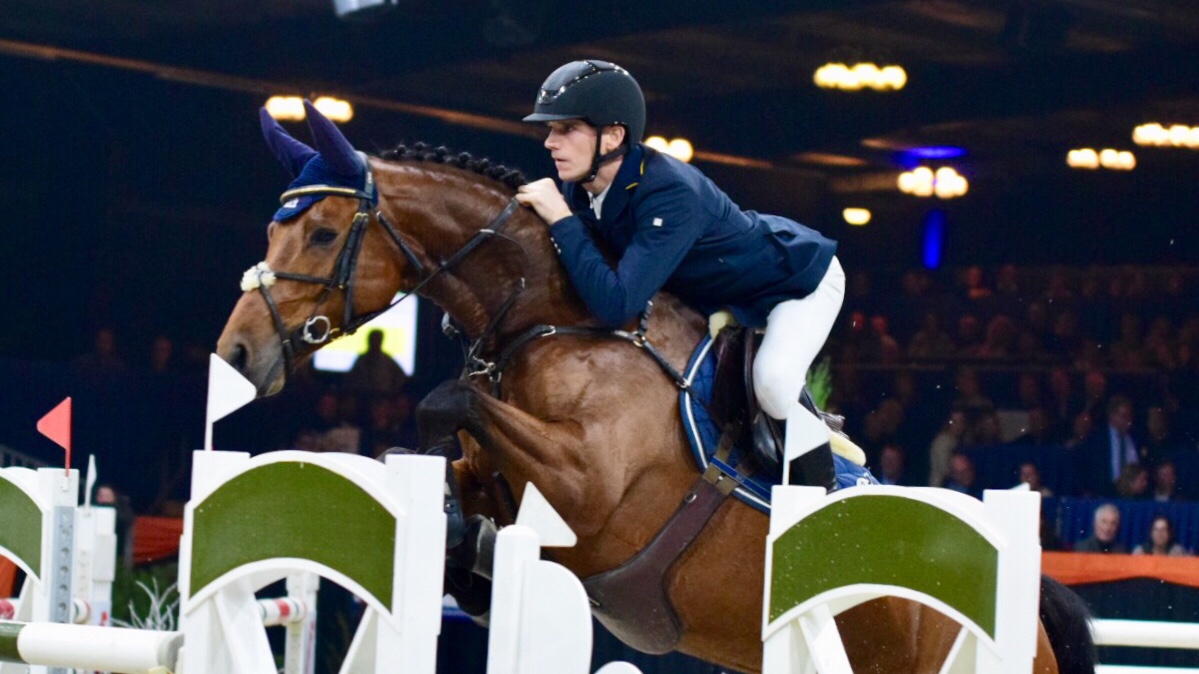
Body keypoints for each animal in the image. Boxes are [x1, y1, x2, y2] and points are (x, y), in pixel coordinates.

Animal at [215, 100, 1098, 671]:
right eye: (273, 228)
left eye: (322, 232)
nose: (236, 354)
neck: (553, 321)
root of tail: (1029, 606)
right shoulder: (508, 465)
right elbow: (452, 457)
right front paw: (460, 542)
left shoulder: (592, 488)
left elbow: (447, 403)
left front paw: (463, 535)